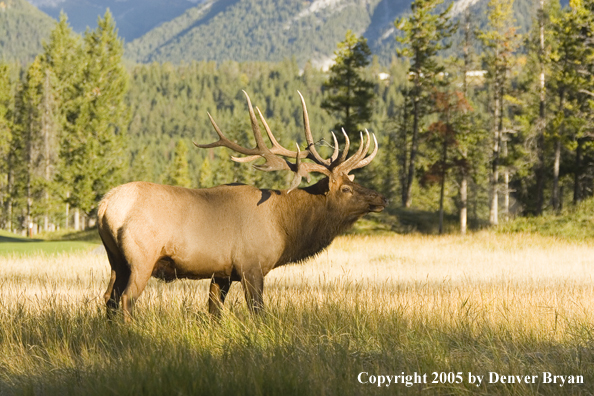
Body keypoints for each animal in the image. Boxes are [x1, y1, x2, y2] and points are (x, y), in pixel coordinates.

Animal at [97, 91, 384, 320]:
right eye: (346, 188)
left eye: (352, 180)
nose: (381, 198)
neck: (285, 227)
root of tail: (104, 205)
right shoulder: (251, 265)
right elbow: (258, 312)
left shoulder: (222, 273)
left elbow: (213, 313)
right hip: (141, 258)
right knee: (125, 300)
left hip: (116, 260)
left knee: (108, 298)